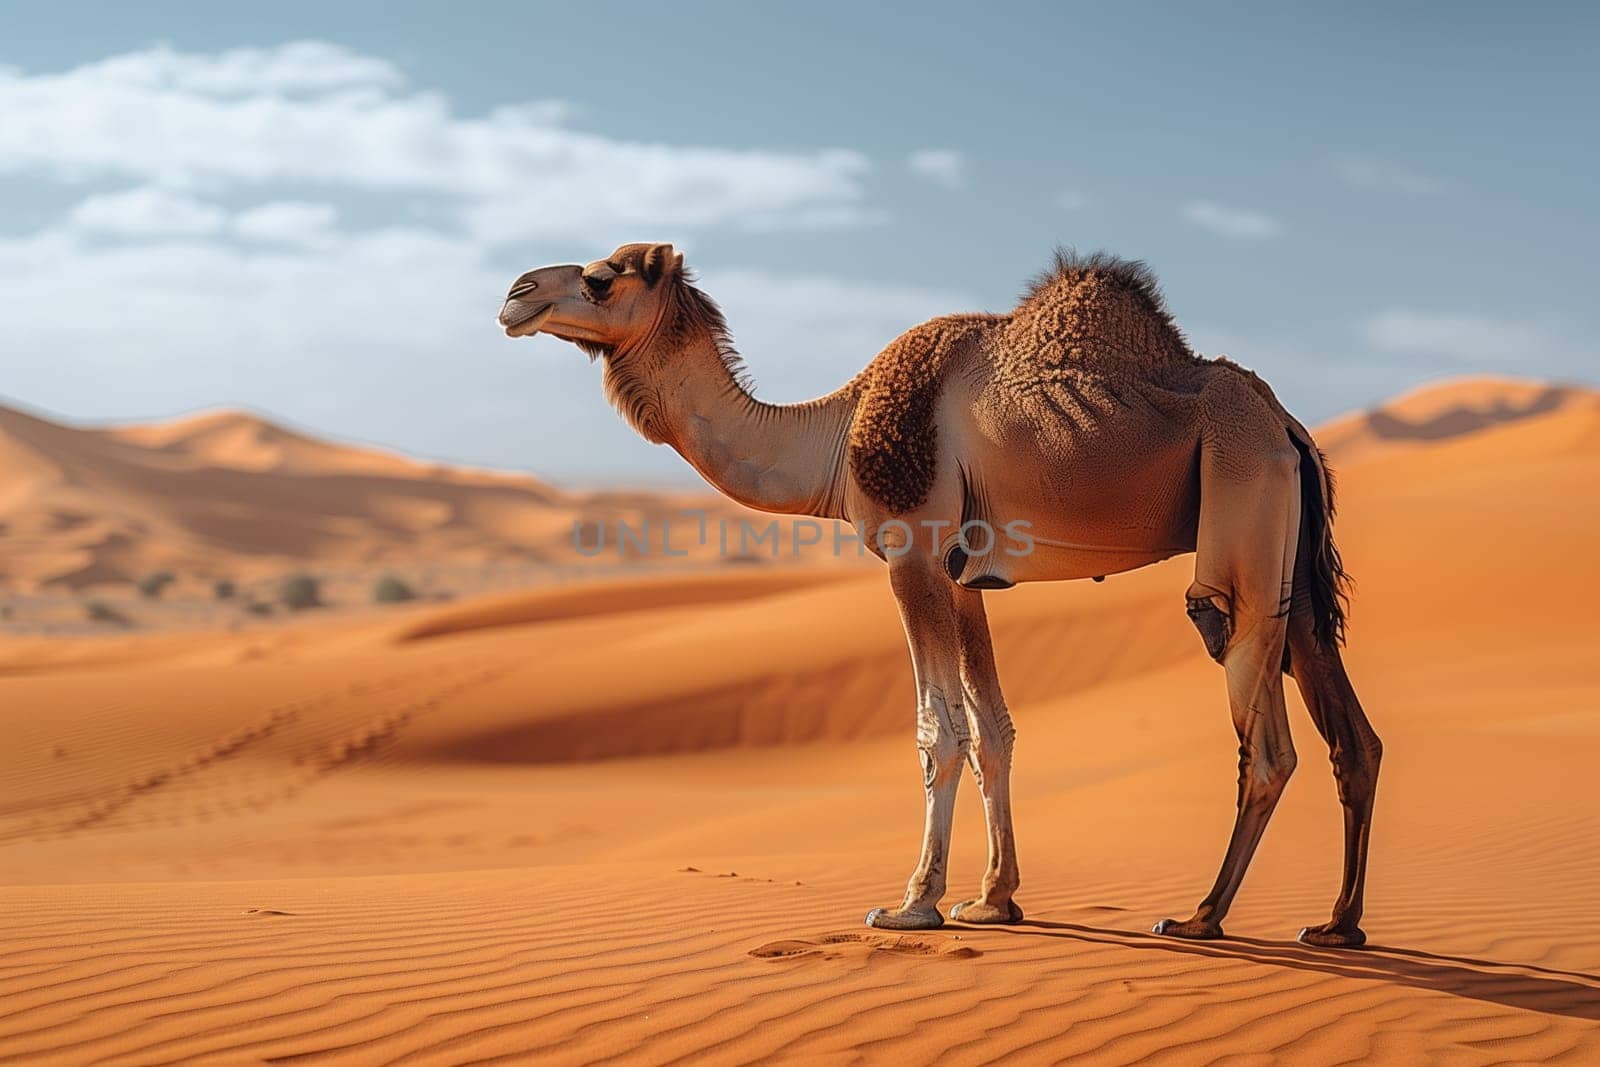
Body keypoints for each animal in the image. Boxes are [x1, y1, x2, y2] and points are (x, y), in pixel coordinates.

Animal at [502, 246, 1388, 947]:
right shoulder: (964, 575)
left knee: (1260, 726)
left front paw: (913, 903)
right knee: (1353, 733)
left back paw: (1202, 915)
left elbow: (939, 731)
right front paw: (994, 899)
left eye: (601, 277)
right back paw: (1337, 923)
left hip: (1242, 506)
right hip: (1291, 558)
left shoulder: (912, 553)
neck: (836, 435)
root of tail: (1289, 426)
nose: (516, 293)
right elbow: (993, 729)